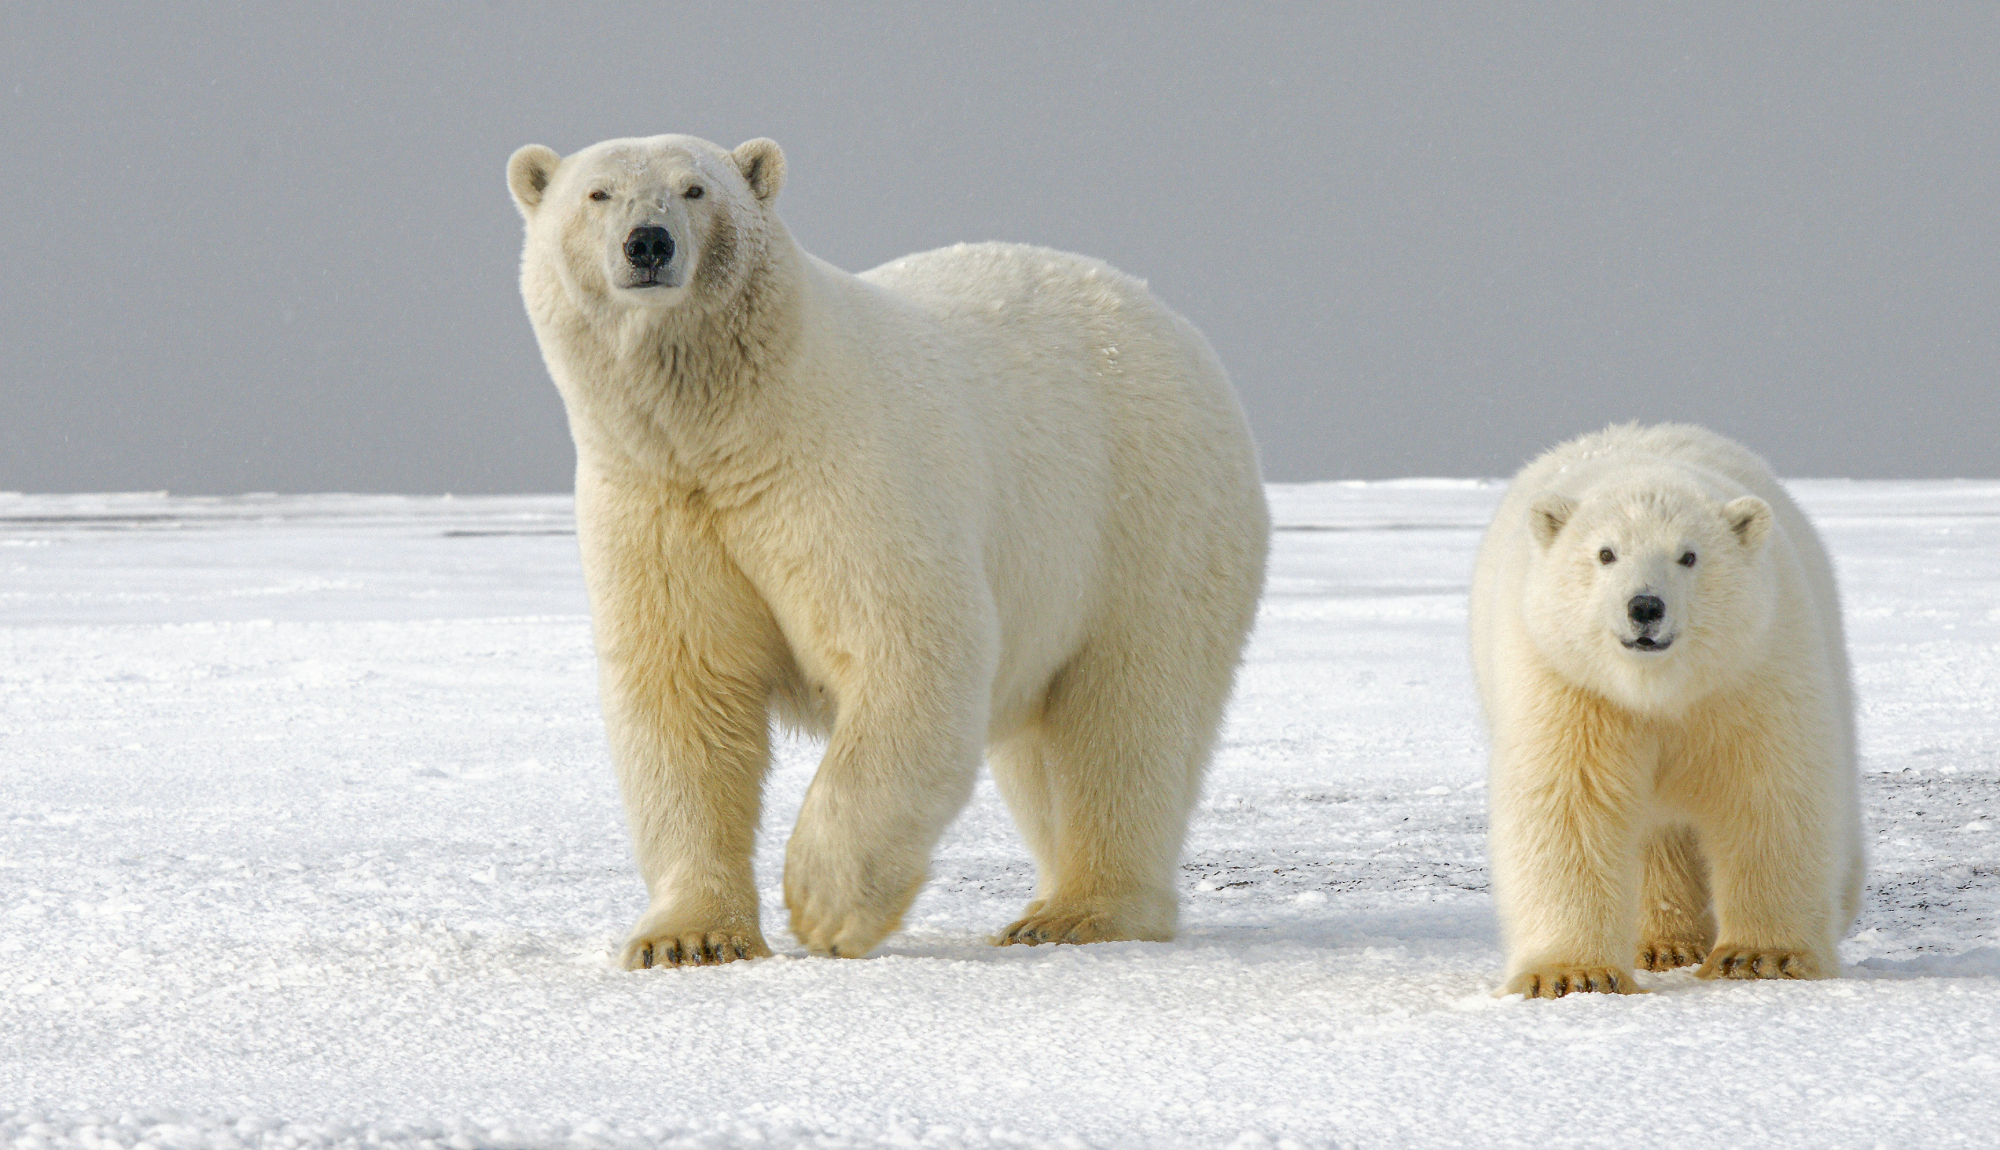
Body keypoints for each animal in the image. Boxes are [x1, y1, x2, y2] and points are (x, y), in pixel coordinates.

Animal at [506, 134, 1269, 967]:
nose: (648, 243)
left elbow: (909, 646)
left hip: (1145, 515)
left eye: (695, 188)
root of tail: (1173, 322)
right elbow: (685, 693)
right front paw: (688, 938)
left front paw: (824, 905)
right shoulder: (655, 504)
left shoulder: (843, 474)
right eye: (598, 194)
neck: (732, 428)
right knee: (1043, 750)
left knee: (1126, 715)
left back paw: (1080, 911)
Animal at [1468, 423, 1863, 997]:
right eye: (1605, 553)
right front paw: (1572, 974)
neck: (1659, 690)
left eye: (1689, 556)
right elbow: (1568, 804)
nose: (1645, 606)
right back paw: (1664, 944)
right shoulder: (1569, 685)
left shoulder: (1751, 672)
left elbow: (1770, 792)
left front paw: (1759, 957)